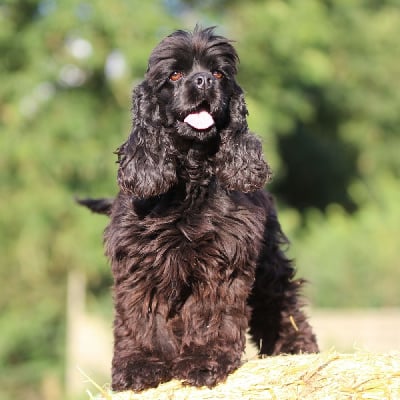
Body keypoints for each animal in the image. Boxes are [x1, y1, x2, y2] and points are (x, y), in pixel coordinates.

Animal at [79, 25, 318, 390]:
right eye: (174, 74)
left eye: (219, 73)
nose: (204, 80)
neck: (191, 175)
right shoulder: (140, 262)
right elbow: (140, 316)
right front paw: (140, 366)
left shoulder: (224, 258)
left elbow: (211, 313)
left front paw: (204, 361)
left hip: (268, 263)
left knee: (282, 300)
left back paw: (297, 346)